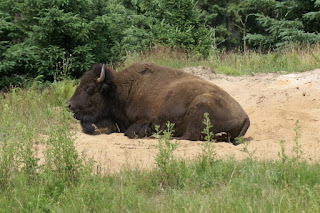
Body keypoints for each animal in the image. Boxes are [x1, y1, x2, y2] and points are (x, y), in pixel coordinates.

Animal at [67, 62, 250, 142]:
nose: (69, 105)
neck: (122, 91)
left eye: (89, 88)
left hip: (199, 105)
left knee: (189, 137)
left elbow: (130, 132)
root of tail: (245, 116)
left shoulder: (146, 120)